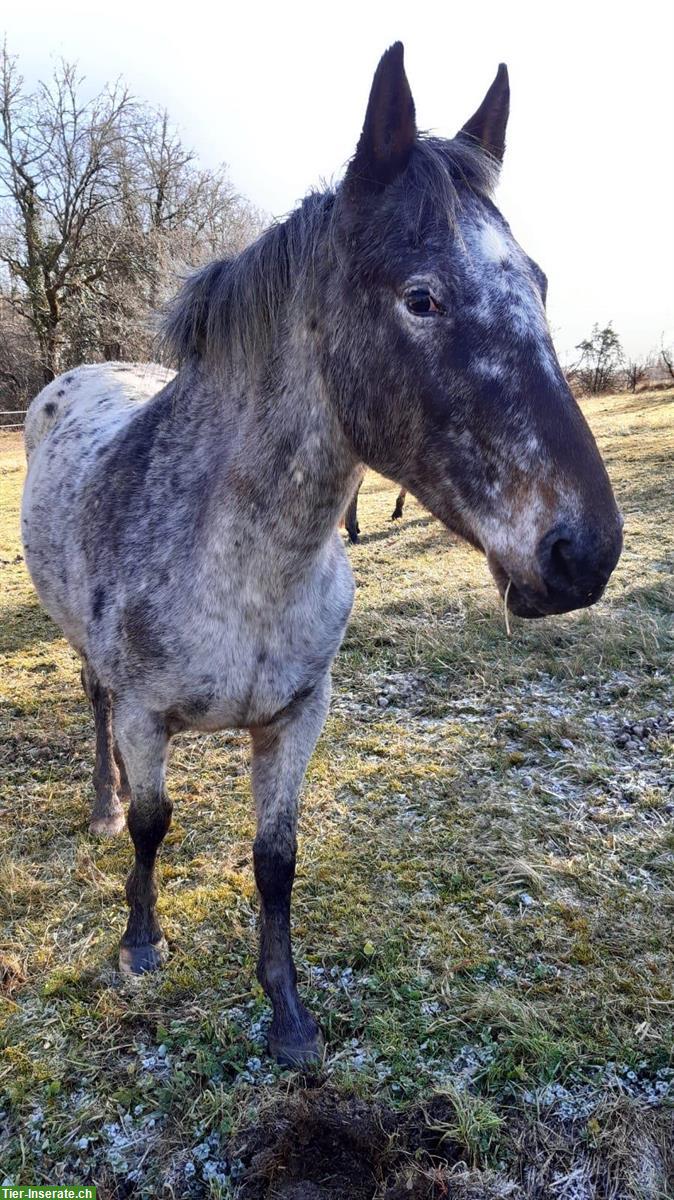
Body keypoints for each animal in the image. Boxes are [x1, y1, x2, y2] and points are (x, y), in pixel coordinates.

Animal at [20, 44, 618, 1070]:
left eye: (538, 285)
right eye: (421, 298)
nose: (586, 551)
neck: (247, 569)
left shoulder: (300, 715)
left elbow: (276, 861)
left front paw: (288, 1014)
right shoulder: (145, 713)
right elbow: (153, 825)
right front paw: (140, 939)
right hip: (89, 659)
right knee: (94, 713)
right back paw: (99, 805)